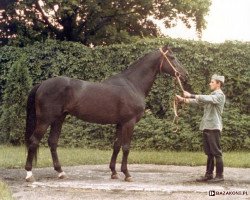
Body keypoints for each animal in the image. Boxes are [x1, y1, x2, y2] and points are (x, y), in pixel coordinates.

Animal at [24, 46, 188, 182]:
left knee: (52, 142)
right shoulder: (129, 123)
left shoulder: (120, 124)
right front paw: (127, 174)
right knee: (34, 141)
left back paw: (60, 172)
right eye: (172, 57)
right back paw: (29, 174)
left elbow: (116, 146)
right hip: (45, 120)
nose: (185, 74)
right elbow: (126, 147)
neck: (132, 84)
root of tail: (42, 84)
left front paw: (114, 172)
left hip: (59, 119)